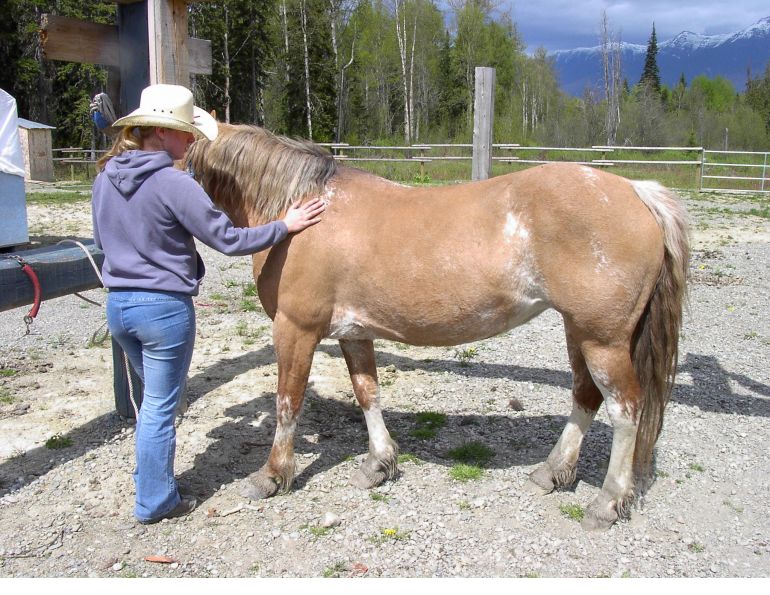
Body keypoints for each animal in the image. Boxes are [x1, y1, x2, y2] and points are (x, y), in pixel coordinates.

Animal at [186, 124, 689, 531]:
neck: (303, 210)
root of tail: (637, 191)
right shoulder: (354, 333)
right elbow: (368, 394)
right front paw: (379, 465)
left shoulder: (296, 330)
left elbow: (288, 403)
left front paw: (271, 476)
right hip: (579, 332)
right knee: (586, 397)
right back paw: (551, 472)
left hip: (603, 340)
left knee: (625, 410)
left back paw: (606, 503)